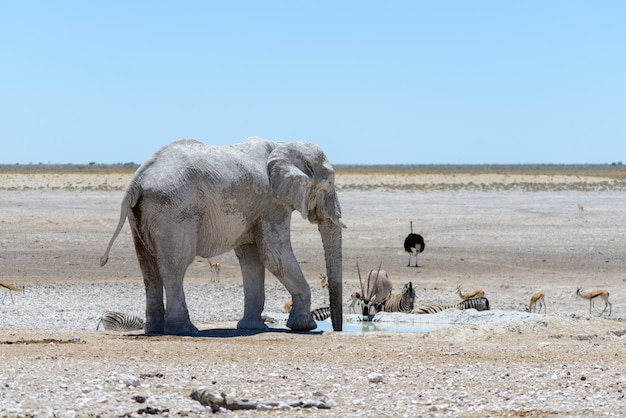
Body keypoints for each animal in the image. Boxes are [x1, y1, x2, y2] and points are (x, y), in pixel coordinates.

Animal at [99, 139, 344, 334]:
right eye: (330, 183)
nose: (337, 330)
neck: (283, 144)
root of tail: (136, 180)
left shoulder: (255, 209)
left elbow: (252, 258)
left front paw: (252, 327)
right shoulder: (271, 203)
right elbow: (274, 255)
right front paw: (305, 327)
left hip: (142, 214)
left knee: (148, 269)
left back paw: (155, 330)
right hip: (173, 210)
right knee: (175, 266)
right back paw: (184, 330)